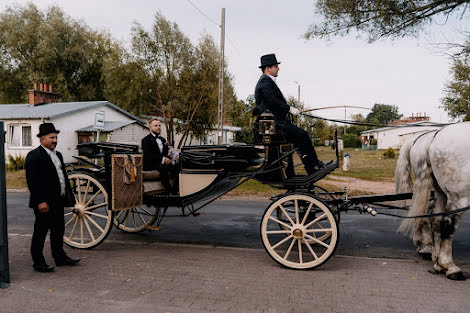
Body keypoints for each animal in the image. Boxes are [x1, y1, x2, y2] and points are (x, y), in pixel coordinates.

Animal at [396, 121, 470, 280]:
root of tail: (435, 135)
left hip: (440, 193)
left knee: (434, 219)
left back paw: (435, 257)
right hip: (459, 196)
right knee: (447, 225)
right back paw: (448, 266)